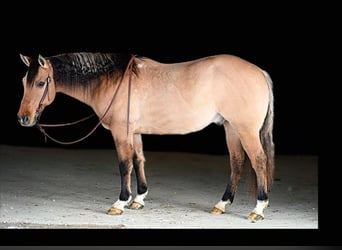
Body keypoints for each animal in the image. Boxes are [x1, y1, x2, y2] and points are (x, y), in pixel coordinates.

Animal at [18, 51, 276, 222]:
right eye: (23, 81)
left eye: (40, 83)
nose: (24, 119)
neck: (113, 80)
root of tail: (259, 72)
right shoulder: (135, 133)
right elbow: (138, 160)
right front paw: (139, 199)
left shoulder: (121, 132)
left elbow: (124, 165)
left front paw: (120, 202)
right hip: (231, 128)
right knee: (237, 162)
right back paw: (222, 204)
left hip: (245, 130)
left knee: (258, 161)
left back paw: (258, 209)